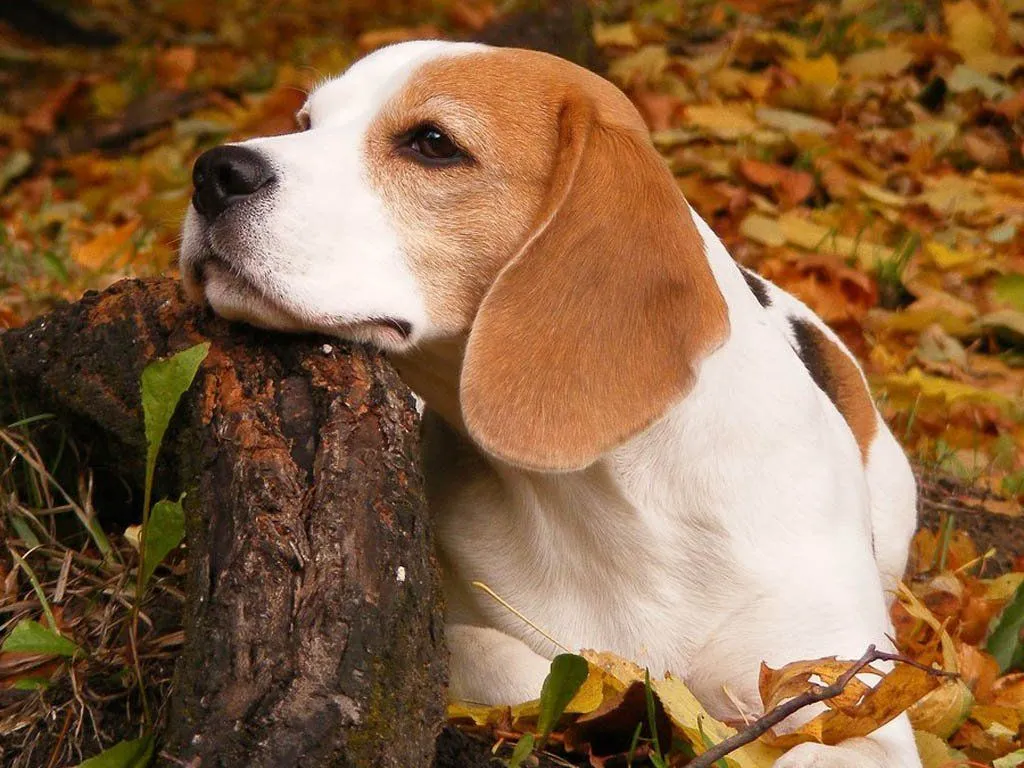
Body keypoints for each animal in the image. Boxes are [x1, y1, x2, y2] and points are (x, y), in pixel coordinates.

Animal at [182, 41, 921, 768]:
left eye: (433, 143)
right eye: (306, 121)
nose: (214, 171)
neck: (605, 495)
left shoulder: (849, 701)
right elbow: (528, 664)